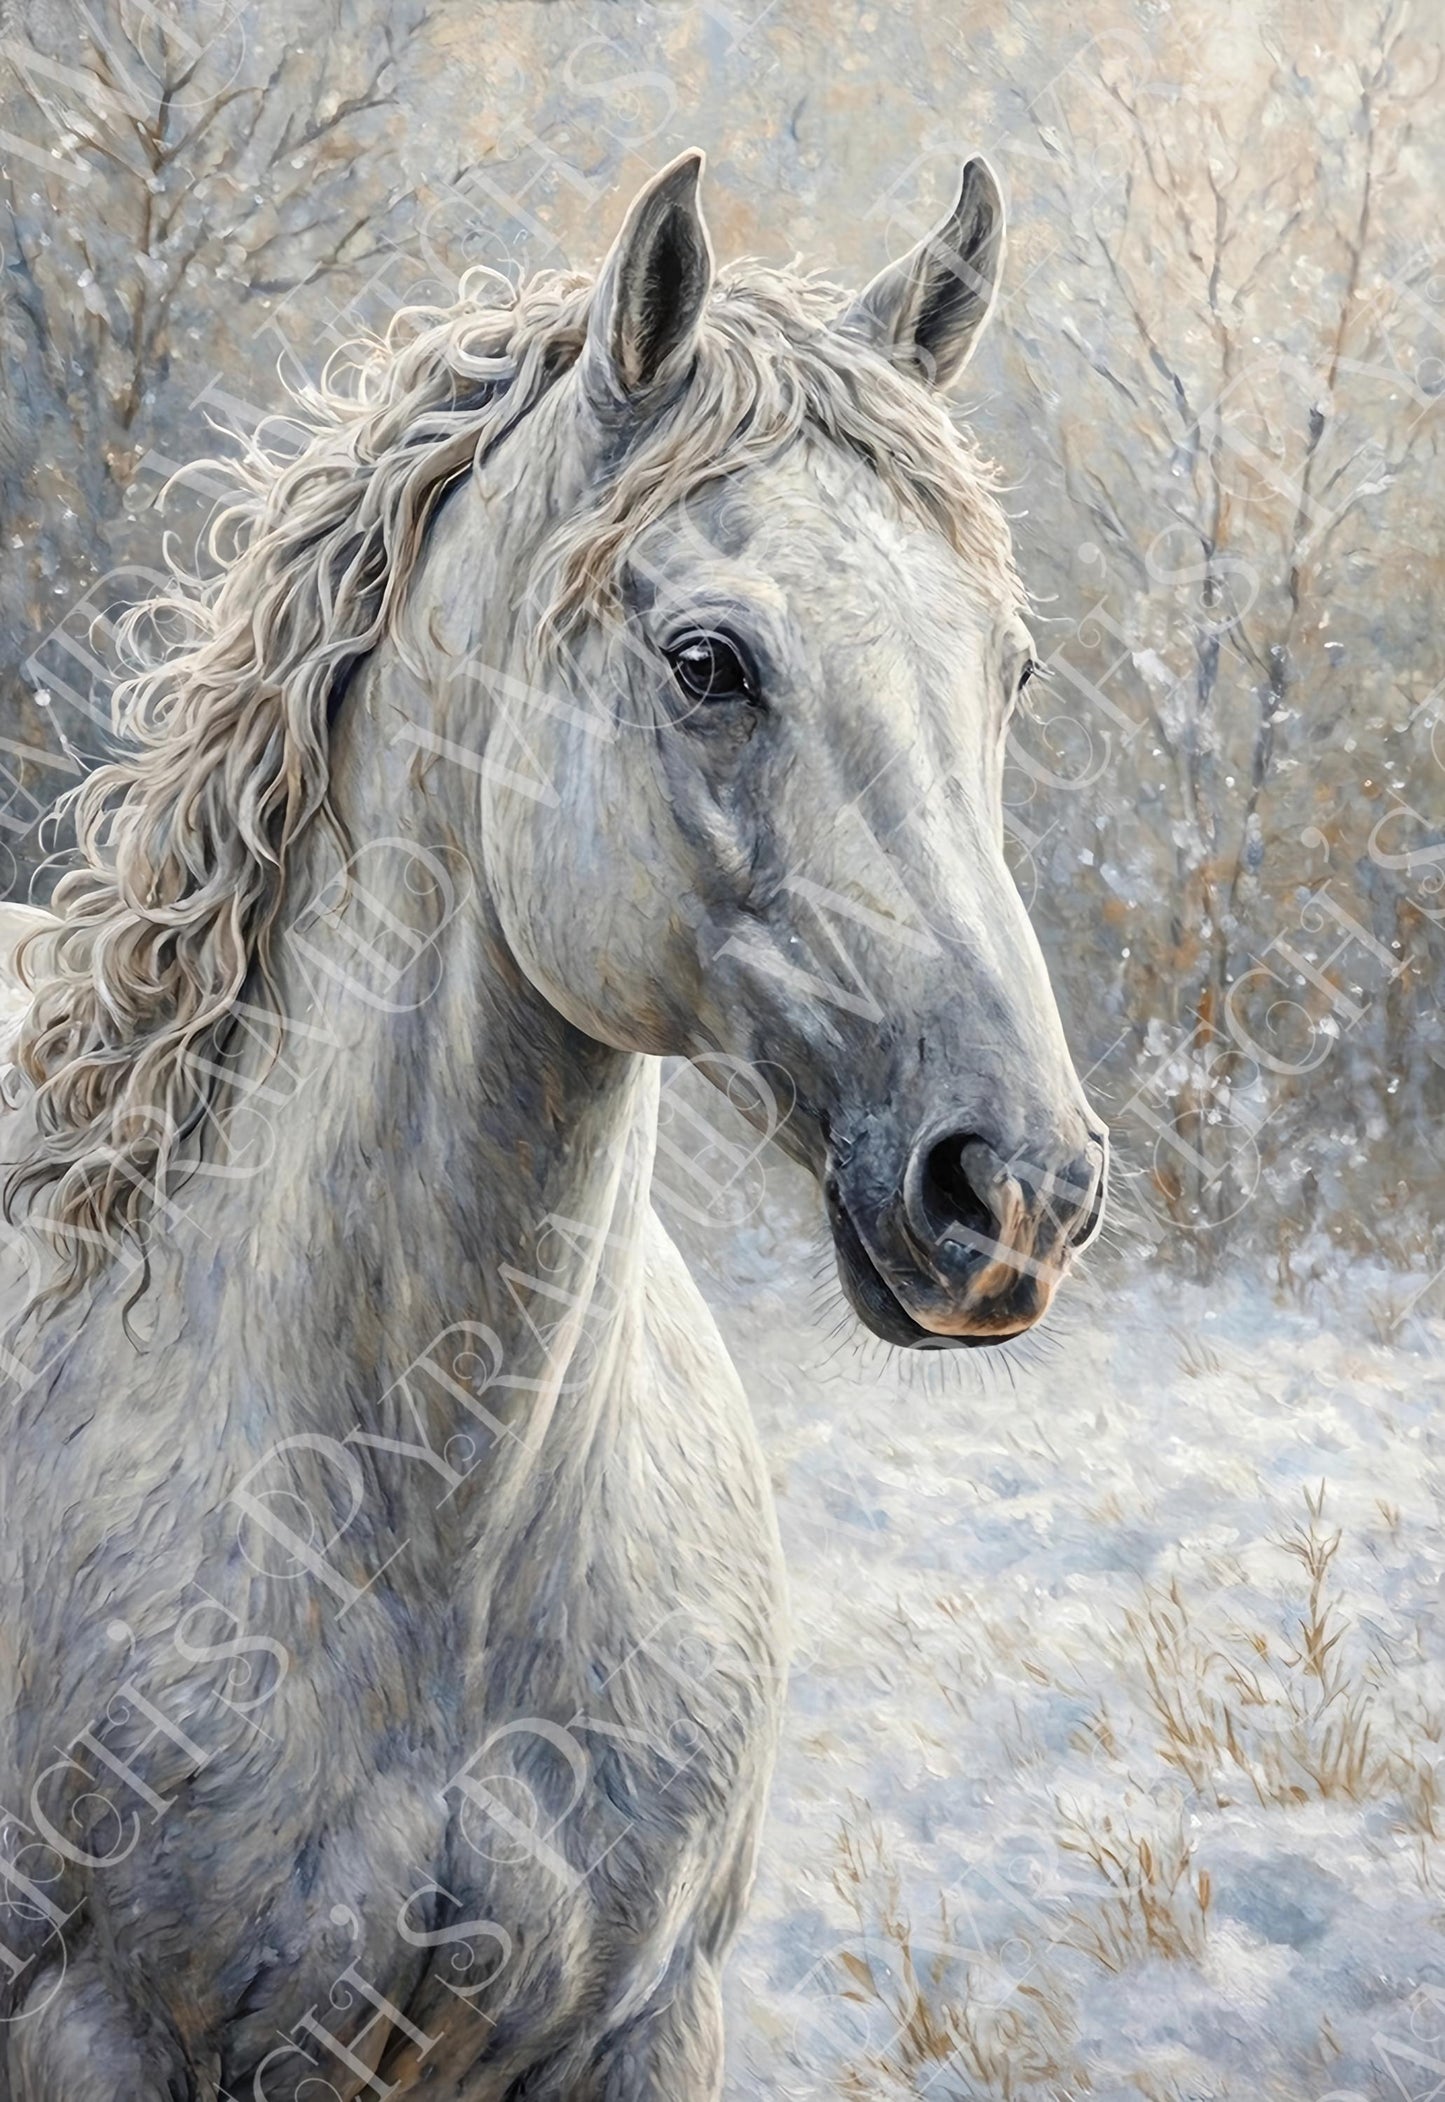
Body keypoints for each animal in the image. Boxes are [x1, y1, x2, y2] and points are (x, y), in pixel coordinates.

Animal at [0, 150, 1106, 2099]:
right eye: (708, 659)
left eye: (1013, 670)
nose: (1017, 1193)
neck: (427, 1530)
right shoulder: (95, 2031)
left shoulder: (649, 2022)